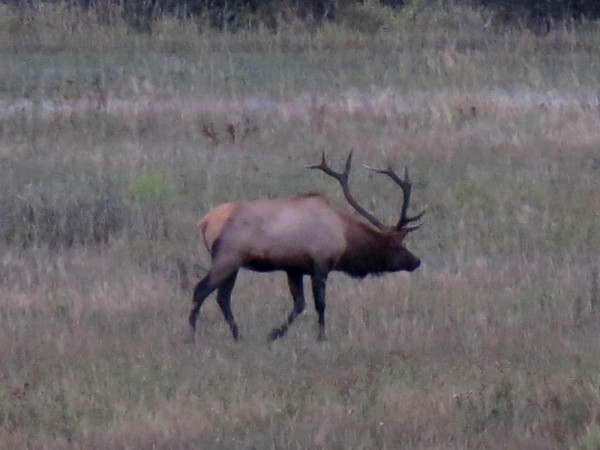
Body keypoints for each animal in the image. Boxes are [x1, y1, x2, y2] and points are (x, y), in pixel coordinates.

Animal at [185, 153, 424, 342]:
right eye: (399, 246)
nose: (416, 261)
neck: (344, 237)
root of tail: (205, 222)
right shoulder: (320, 264)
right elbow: (320, 303)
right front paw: (322, 337)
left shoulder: (294, 268)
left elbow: (299, 304)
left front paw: (274, 334)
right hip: (227, 258)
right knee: (201, 290)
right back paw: (191, 337)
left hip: (234, 264)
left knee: (223, 298)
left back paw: (237, 335)